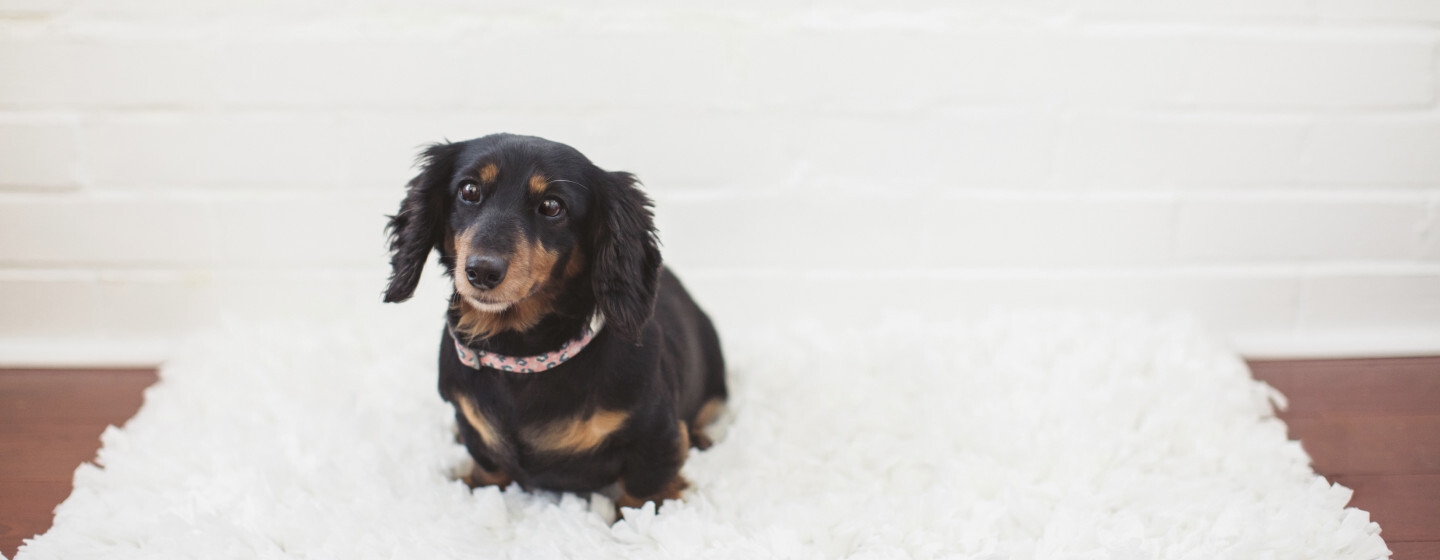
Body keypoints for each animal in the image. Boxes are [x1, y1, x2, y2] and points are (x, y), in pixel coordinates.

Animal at [380, 133, 725, 509]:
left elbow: (643, 492)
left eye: (551, 206)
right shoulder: (471, 422)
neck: (521, 356)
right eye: (469, 190)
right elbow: (488, 467)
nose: (481, 271)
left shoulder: (656, 436)